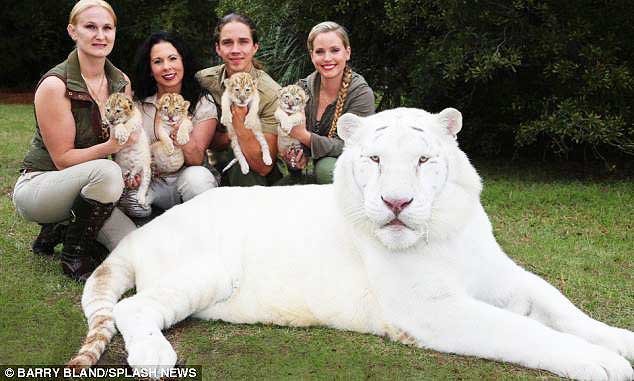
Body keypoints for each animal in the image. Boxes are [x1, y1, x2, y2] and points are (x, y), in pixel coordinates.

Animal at [69, 107, 632, 380]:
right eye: (376, 159)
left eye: (423, 160)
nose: (397, 202)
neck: (442, 231)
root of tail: (143, 233)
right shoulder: (430, 309)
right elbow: (522, 330)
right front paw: (600, 364)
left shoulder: (503, 276)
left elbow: (563, 309)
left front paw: (619, 341)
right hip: (202, 270)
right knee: (133, 308)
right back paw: (154, 357)